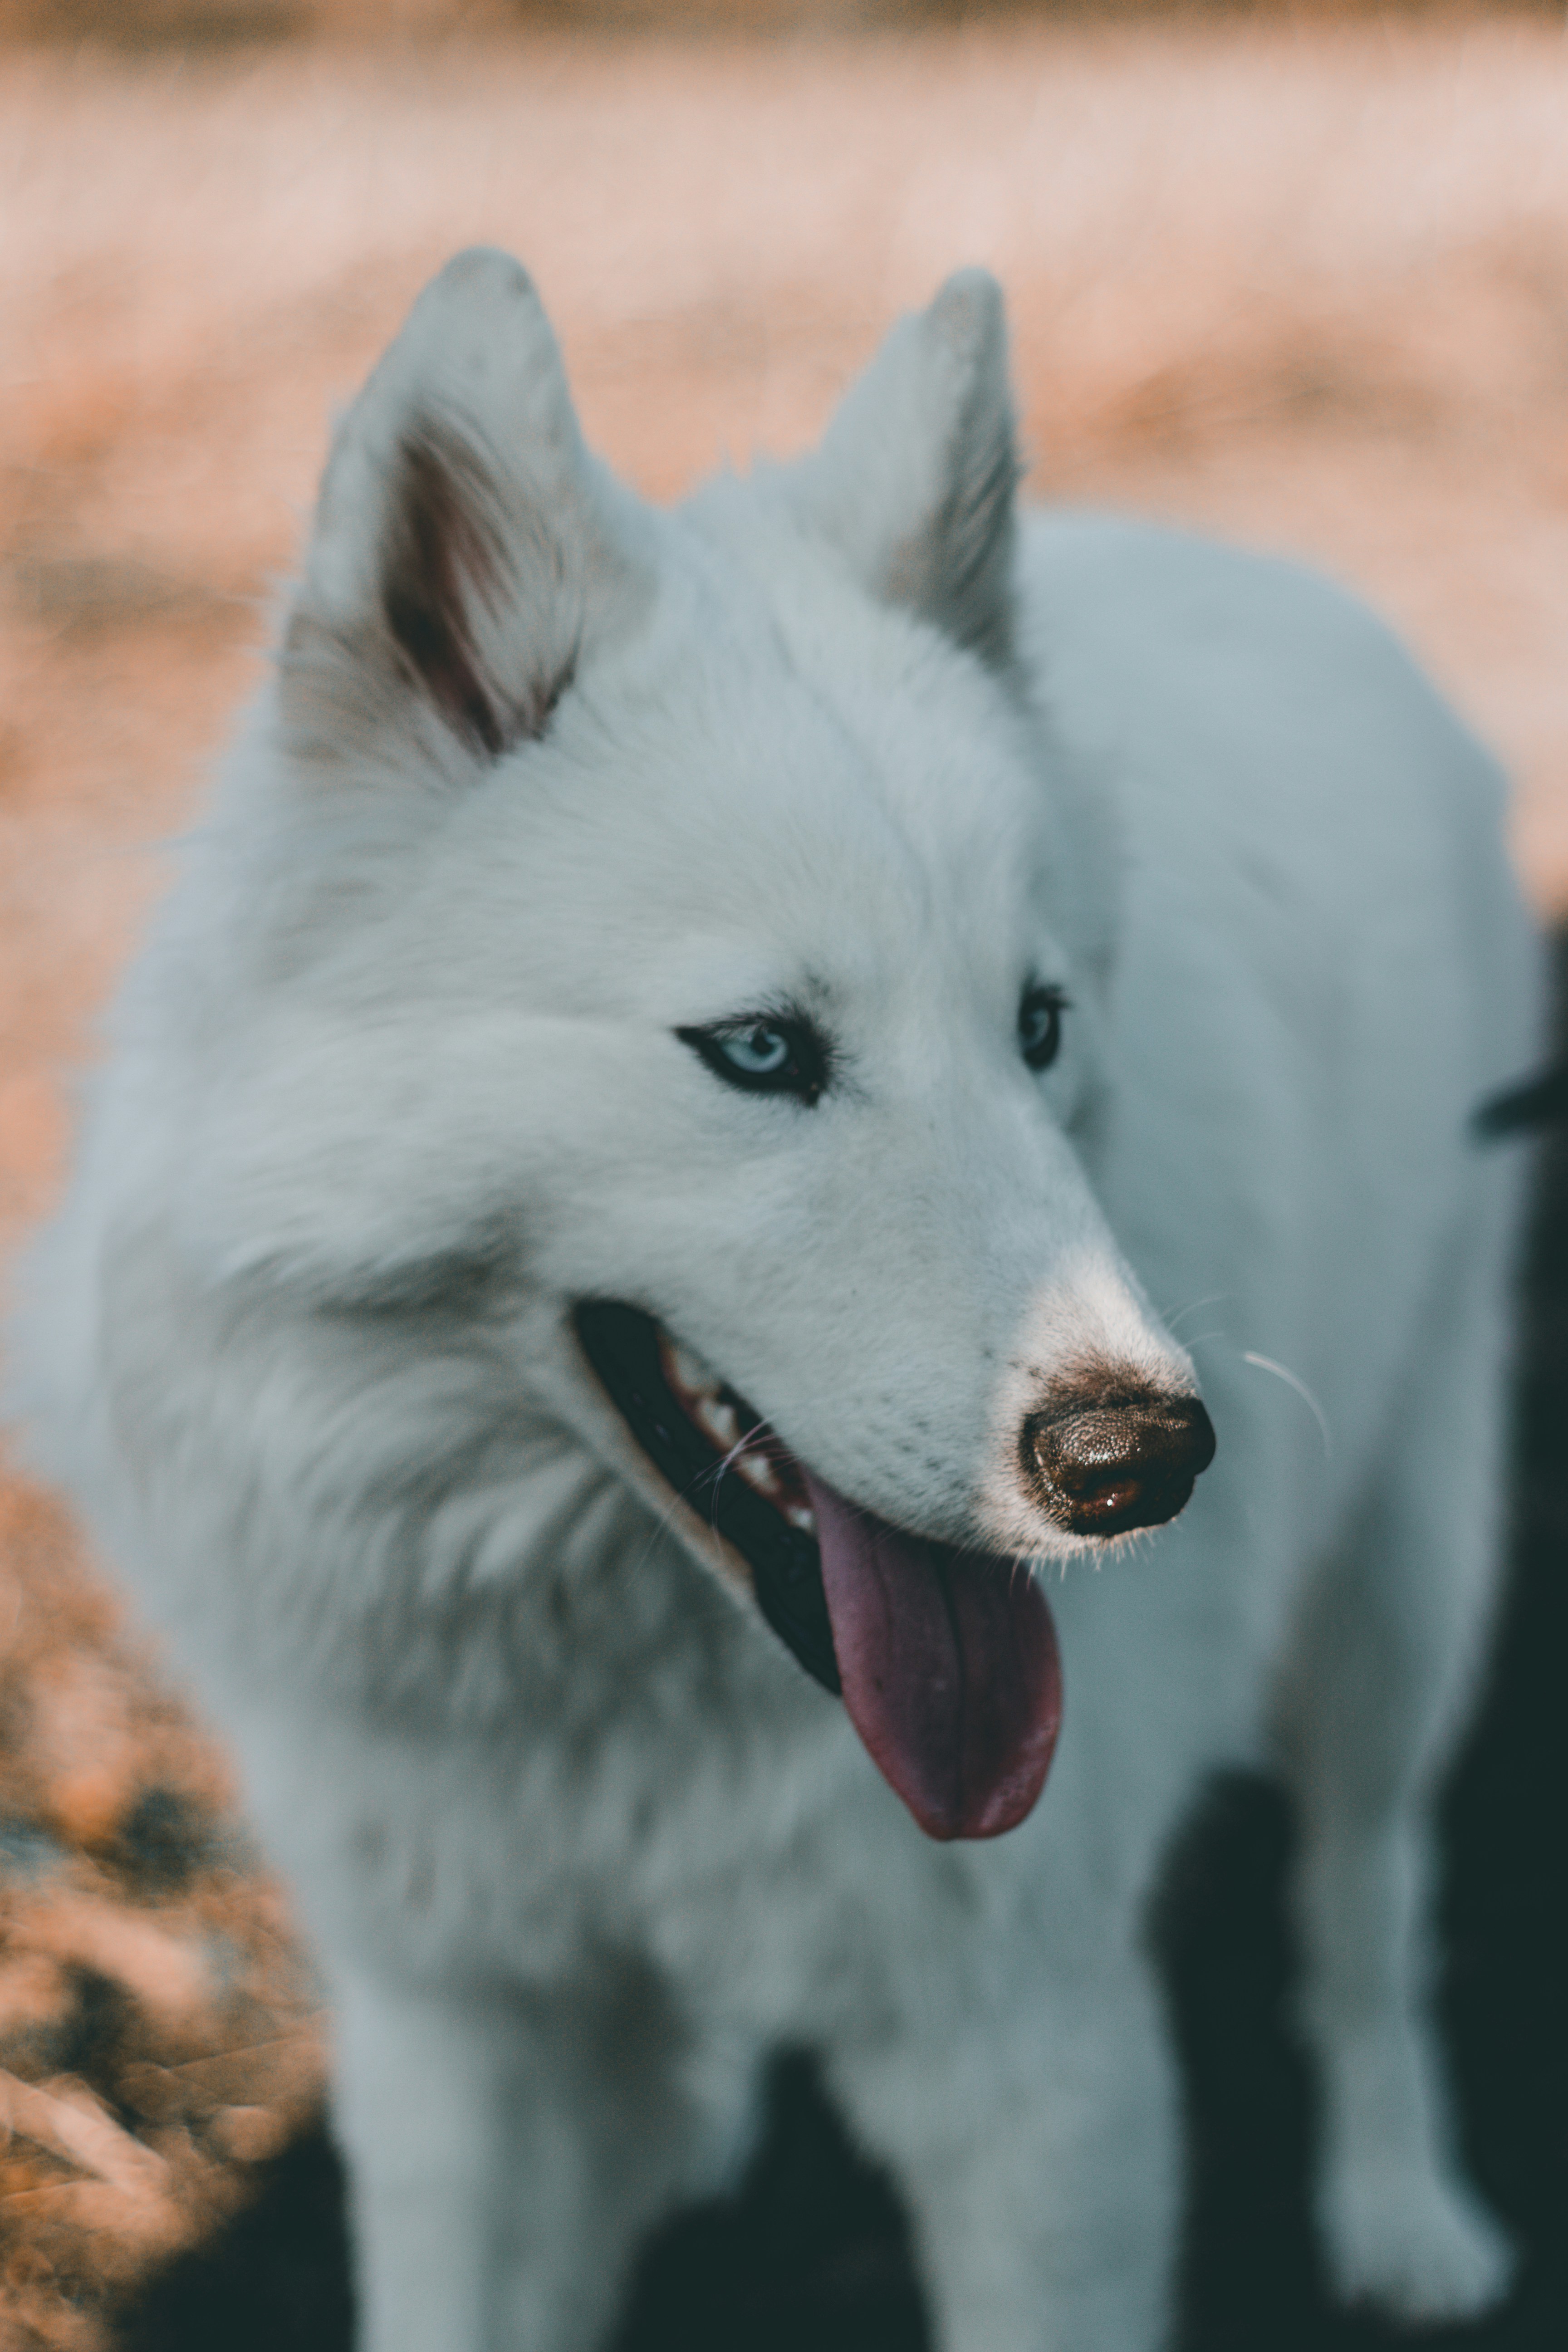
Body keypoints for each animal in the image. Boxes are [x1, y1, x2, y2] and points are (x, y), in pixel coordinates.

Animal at [9, 257, 1533, 2352]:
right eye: (757, 1051)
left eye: (1038, 1027)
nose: (1143, 1461)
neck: (616, 1688)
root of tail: (1255, 559)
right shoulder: (462, 2042)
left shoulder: (1036, 2069)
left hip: (1400, 1596)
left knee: (1367, 1914)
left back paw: (1404, 2214)